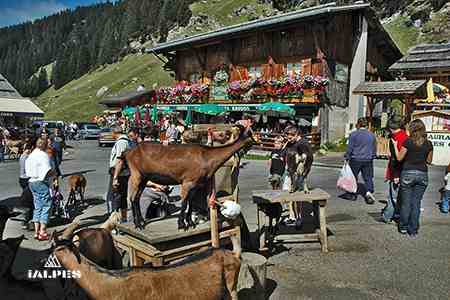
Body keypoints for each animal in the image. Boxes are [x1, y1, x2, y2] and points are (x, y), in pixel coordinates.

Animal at [125, 124, 256, 230]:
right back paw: (138, 224)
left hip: (144, 178)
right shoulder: (187, 182)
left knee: (136, 198)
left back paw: (141, 222)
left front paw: (190, 223)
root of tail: (129, 152)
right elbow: (184, 203)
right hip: (136, 175)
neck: (206, 157)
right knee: (132, 198)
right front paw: (181, 225)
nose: (257, 141)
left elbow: (191, 202)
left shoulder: (196, 184)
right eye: (250, 134)